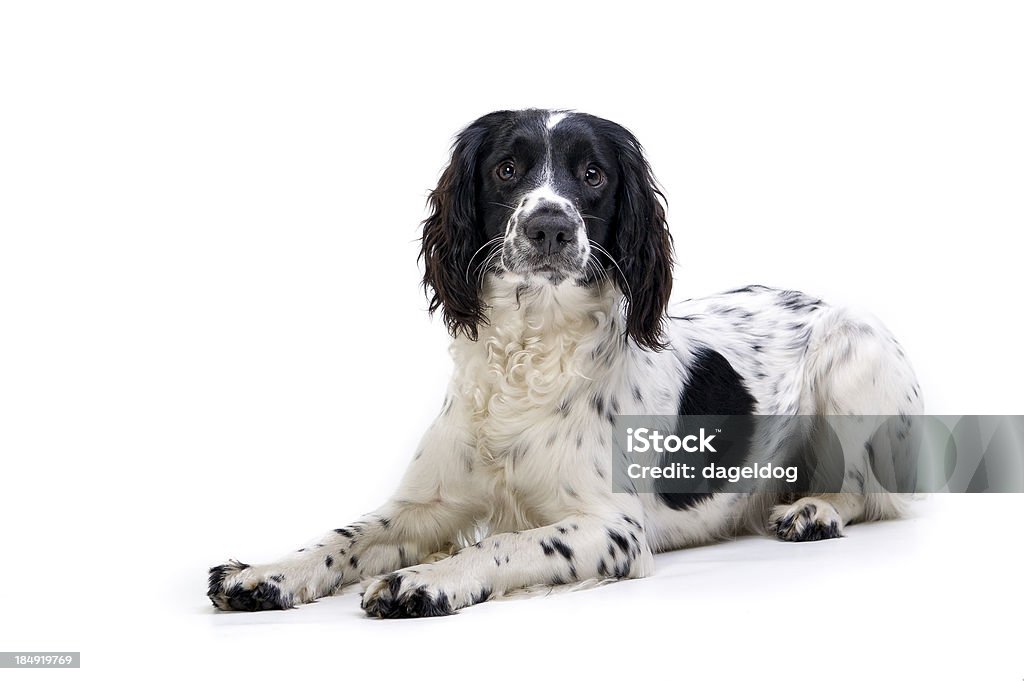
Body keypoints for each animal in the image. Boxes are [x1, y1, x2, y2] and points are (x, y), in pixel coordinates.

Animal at [205, 109, 921, 618]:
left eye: (593, 175)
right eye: (506, 169)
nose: (549, 225)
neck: (529, 353)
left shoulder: (613, 530)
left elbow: (502, 542)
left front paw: (427, 579)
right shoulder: (429, 502)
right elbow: (343, 536)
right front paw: (264, 573)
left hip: (852, 355)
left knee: (871, 492)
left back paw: (814, 510)